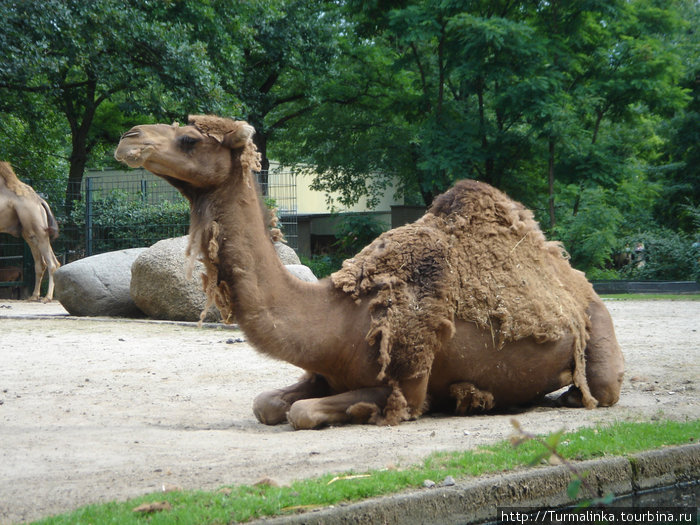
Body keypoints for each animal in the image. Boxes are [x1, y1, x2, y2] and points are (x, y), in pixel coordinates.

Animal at [0, 162, 60, 300]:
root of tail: (40, 201)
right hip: (29, 234)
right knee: (41, 264)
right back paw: (34, 296)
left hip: (38, 228)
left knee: (51, 263)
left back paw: (47, 297)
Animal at [113, 116, 624, 428]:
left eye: (189, 139)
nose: (128, 137)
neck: (339, 314)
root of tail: (582, 287)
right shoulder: (323, 369)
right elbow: (268, 404)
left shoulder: (407, 384)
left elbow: (303, 412)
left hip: (599, 328)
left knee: (601, 387)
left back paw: (560, 396)